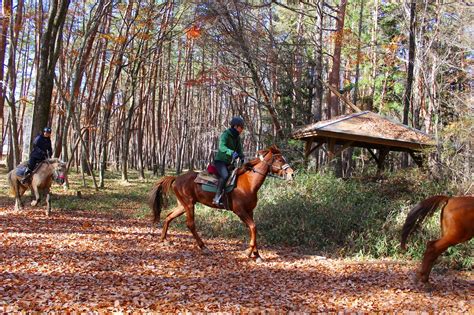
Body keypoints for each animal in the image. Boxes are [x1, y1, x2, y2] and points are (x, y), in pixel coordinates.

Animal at [150, 146, 294, 262]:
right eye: (279, 160)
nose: (292, 174)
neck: (249, 183)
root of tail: (177, 178)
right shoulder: (240, 211)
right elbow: (253, 227)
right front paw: (248, 252)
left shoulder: (250, 211)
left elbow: (253, 228)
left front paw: (257, 255)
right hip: (189, 205)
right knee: (190, 224)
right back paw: (203, 246)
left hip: (182, 206)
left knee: (169, 216)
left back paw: (163, 239)